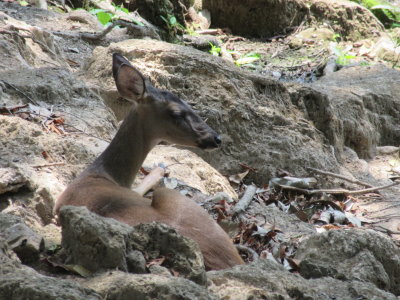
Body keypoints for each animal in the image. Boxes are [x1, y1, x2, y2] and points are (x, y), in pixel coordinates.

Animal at [54, 52, 244, 270]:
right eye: (176, 113)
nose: (216, 138)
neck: (102, 173)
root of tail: (230, 262)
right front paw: (160, 168)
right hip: (173, 197)